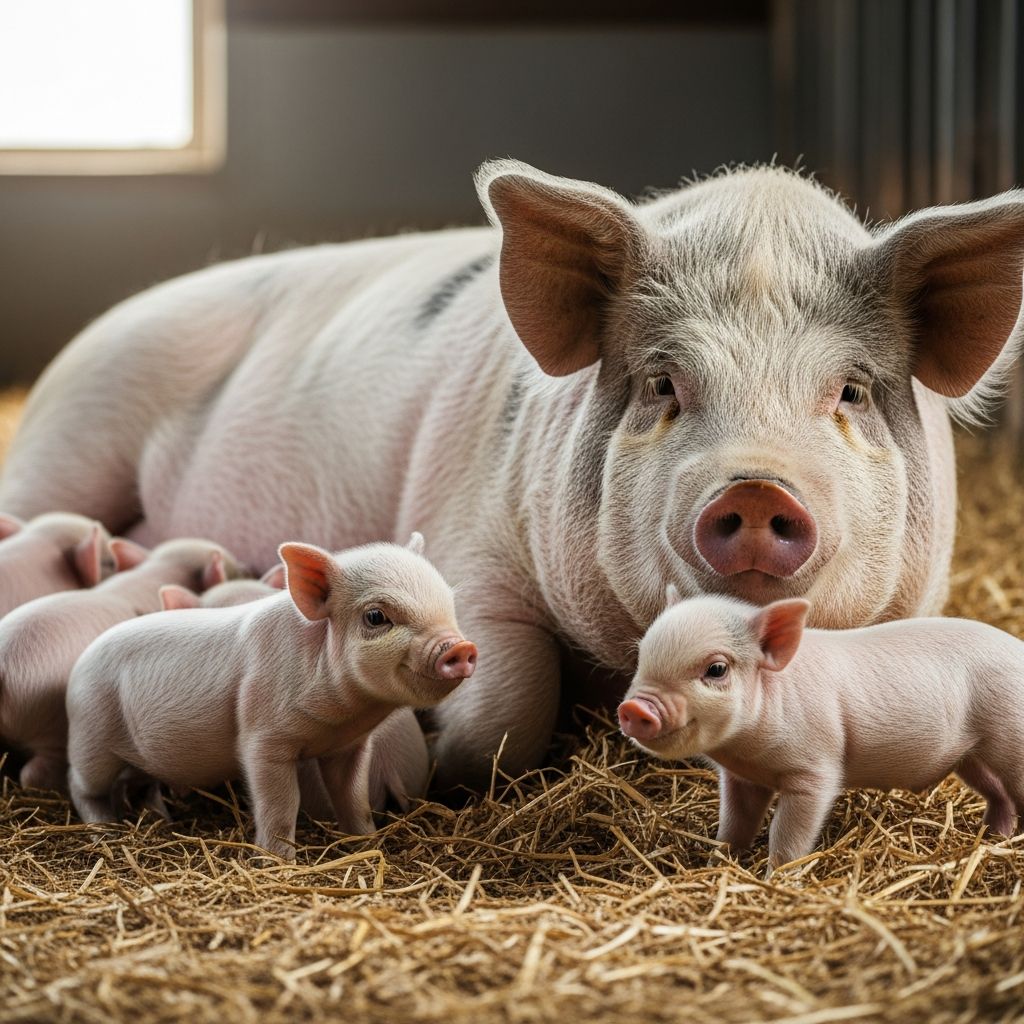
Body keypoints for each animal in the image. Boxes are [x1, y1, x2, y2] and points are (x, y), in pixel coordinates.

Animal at [65, 536, 476, 859]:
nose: (461, 648)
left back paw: (160, 817)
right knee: (80, 785)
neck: (343, 718)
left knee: (140, 783)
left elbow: (354, 798)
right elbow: (281, 804)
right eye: (376, 617)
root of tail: (77, 669)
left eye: (448, 603)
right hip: (92, 737)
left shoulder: (350, 747)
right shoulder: (263, 740)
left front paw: (367, 844)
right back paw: (104, 830)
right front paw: (280, 861)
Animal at [618, 590, 1024, 870]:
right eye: (642, 656)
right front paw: (717, 864)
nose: (634, 707)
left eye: (716, 669)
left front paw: (777, 878)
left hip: (1010, 736)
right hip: (972, 756)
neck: (745, 751)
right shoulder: (741, 779)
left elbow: (787, 835)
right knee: (998, 794)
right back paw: (993, 836)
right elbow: (733, 827)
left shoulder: (814, 772)